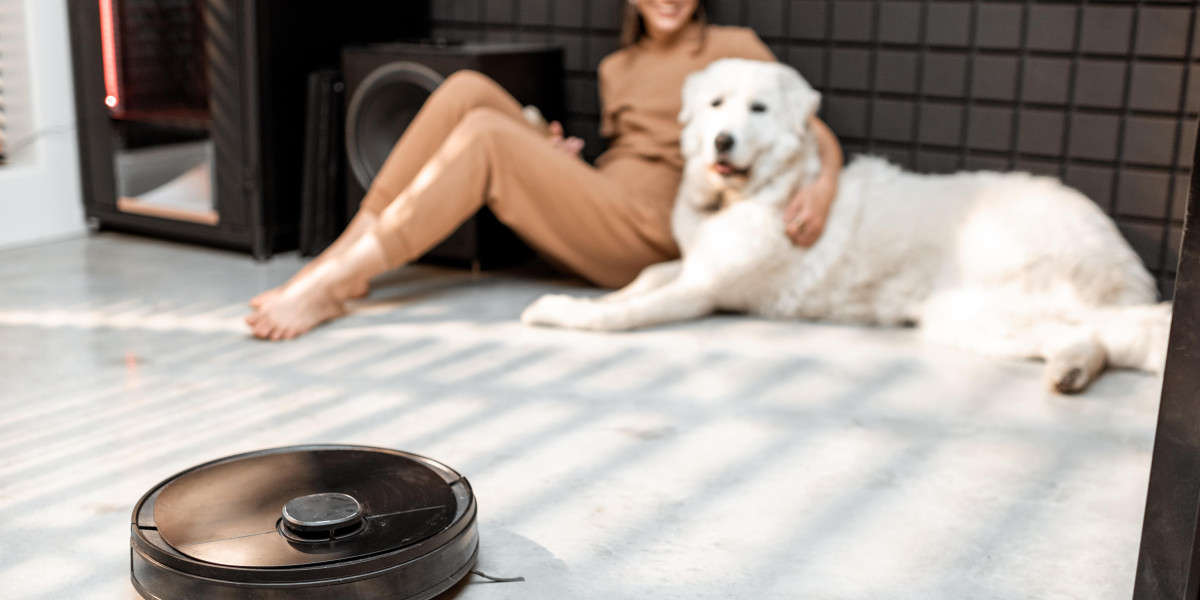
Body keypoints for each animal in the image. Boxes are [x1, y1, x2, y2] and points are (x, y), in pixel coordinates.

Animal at [520, 59, 1166, 393]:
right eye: (715, 104)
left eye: (758, 110)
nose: (723, 140)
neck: (751, 192)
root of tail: (1104, 231)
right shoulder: (691, 264)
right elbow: (648, 273)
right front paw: (610, 291)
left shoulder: (702, 290)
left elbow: (620, 315)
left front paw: (561, 309)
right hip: (965, 315)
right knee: (1090, 336)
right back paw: (1072, 368)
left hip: (1001, 294)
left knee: (1134, 327)